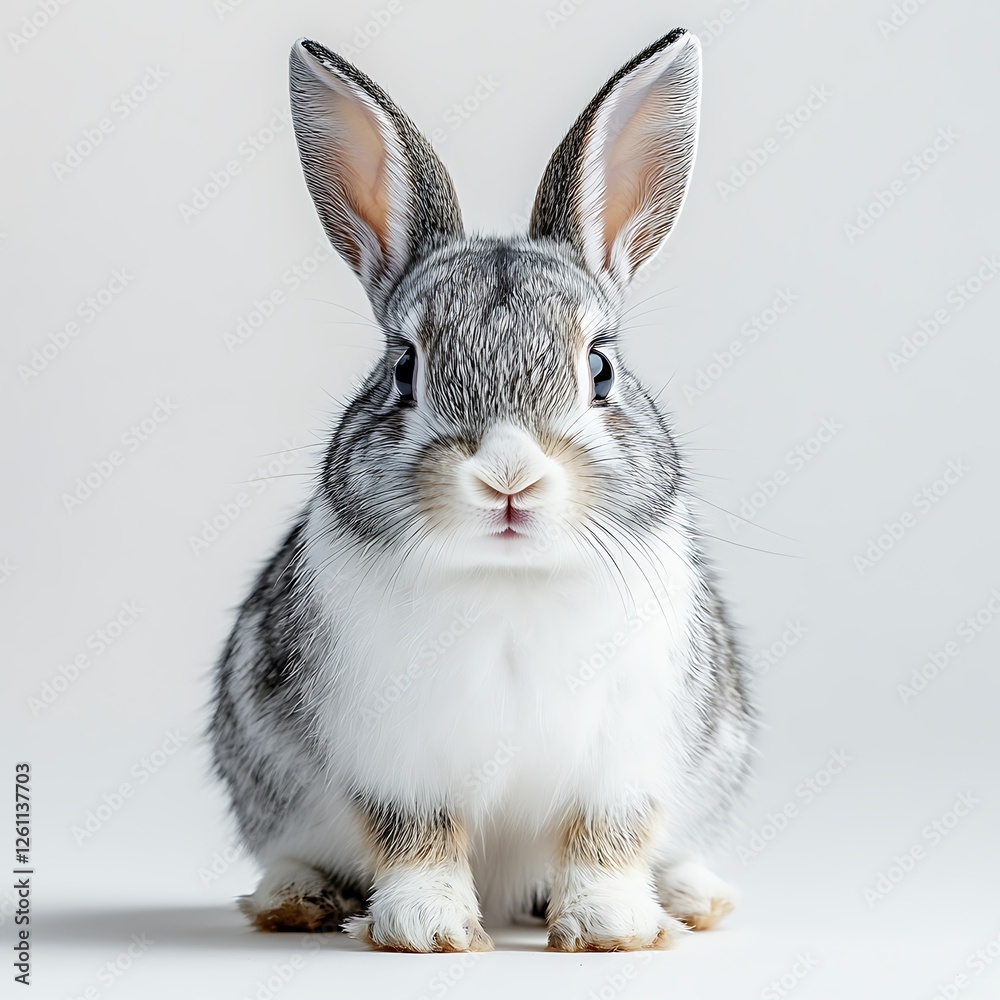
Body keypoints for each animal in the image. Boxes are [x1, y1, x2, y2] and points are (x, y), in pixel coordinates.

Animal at [208, 28, 753, 953]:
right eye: (404, 369)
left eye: (600, 369)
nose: (508, 476)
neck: (509, 580)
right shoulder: (397, 759)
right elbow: (417, 838)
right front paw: (428, 929)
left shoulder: (623, 760)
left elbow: (605, 840)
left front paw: (608, 927)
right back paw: (298, 900)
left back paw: (690, 897)